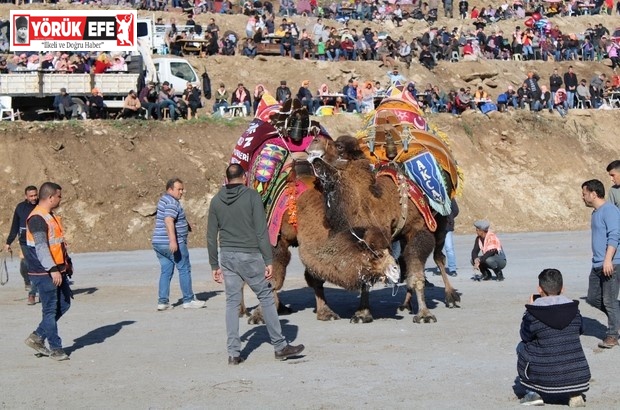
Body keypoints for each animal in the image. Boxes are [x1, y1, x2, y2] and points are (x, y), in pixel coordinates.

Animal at [310, 135, 460, 324]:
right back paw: (405, 304)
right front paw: (362, 314)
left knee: (438, 257)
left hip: (441, 222)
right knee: (405, 260)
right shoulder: (366, 241)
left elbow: (417, 270)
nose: (314, 138)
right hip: (402, 238)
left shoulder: (418, 230)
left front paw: (425, 315)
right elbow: (366, 276)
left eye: (339, 146)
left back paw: (451, 296)